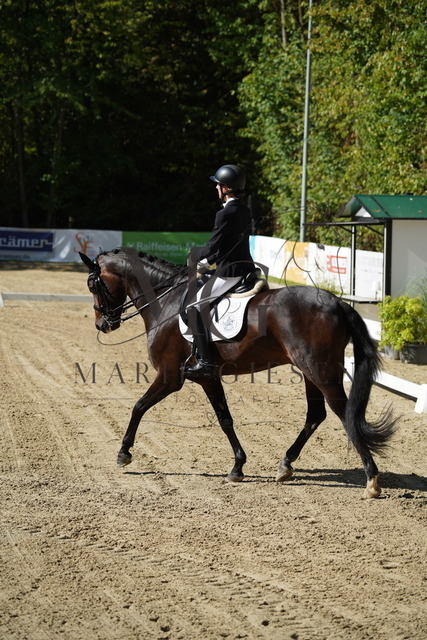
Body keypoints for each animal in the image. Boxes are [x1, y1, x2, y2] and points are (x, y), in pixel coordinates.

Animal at [80, 246, 396, 498]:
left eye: (93, 284)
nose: (102, 325)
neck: (166, 302)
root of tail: (338, 302)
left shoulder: (170, 376)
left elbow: (138, 406)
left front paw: (124, 453)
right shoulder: (207, 377)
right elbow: (225, 419)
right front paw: (238, 467)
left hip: (320, 370)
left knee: (345, 413)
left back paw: (371, 480)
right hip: (309, 371)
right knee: (316, 415)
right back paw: (285, 465)